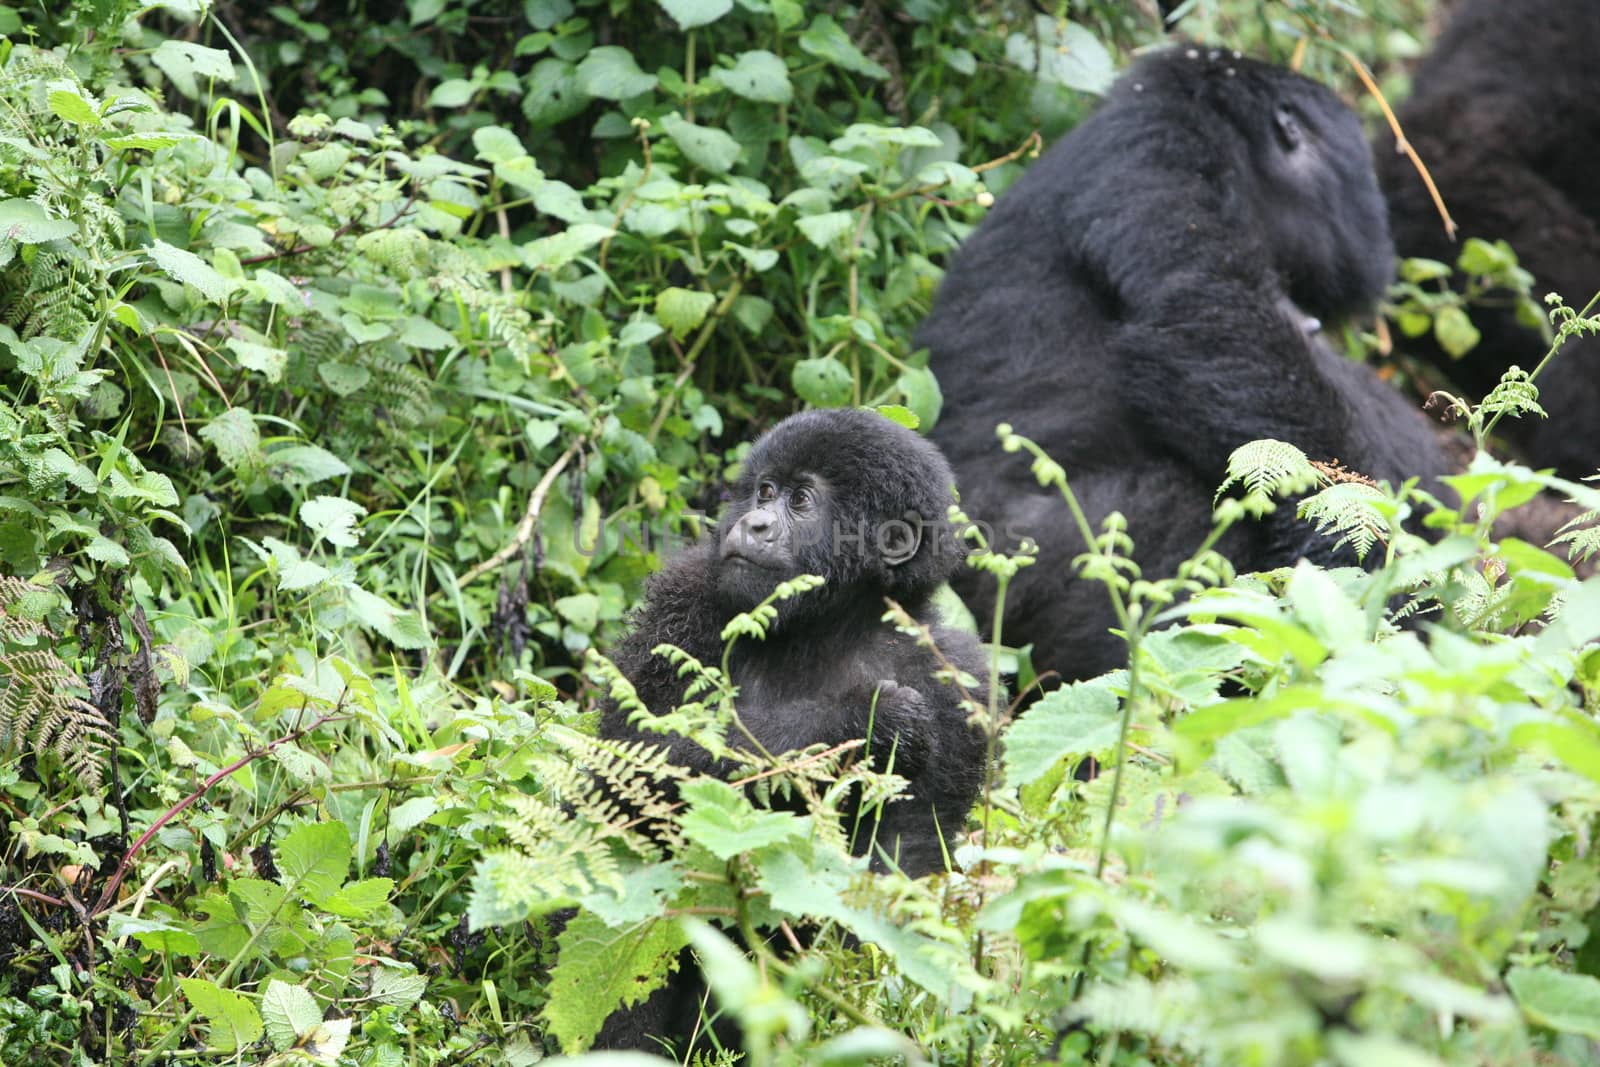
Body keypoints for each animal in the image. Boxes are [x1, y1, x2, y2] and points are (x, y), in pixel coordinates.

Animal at [601, 406, 992, 876]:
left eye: (802, 500)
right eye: (765, 492)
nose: (754, 523)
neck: (829, 626)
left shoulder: (959, 676)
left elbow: (910, 846)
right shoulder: (685, 599)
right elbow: (635, 751)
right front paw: (867, 720)